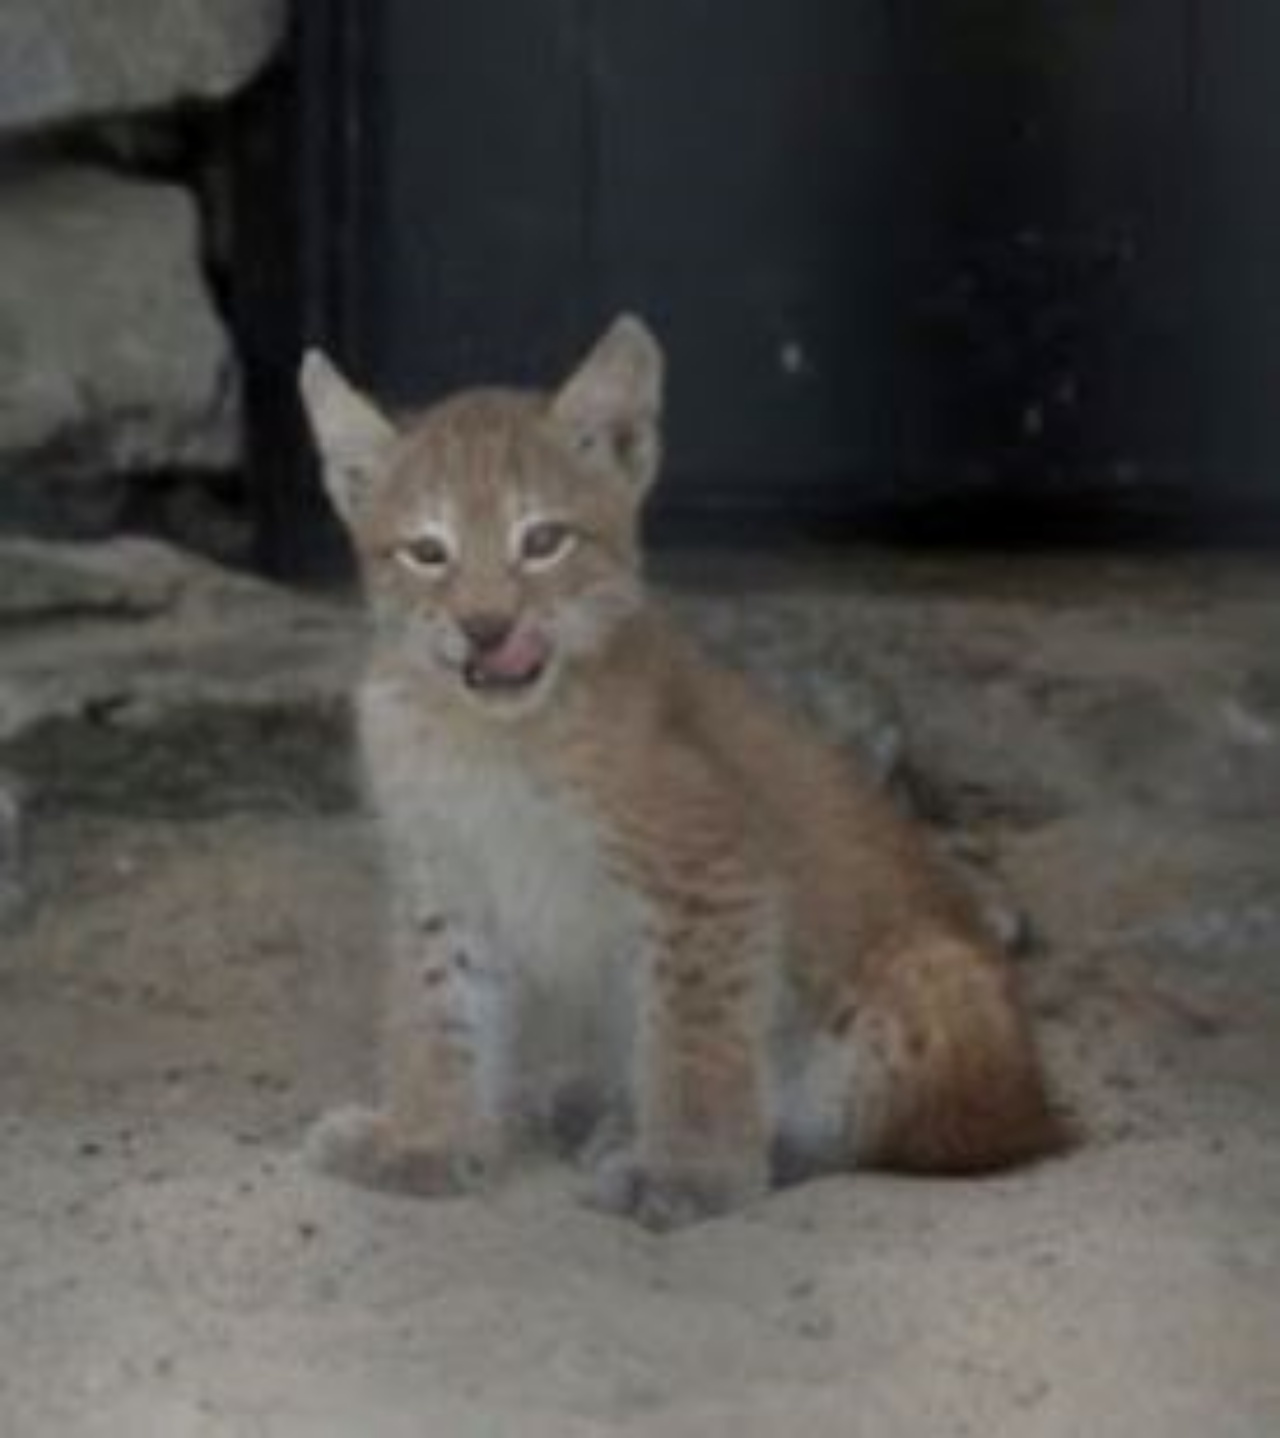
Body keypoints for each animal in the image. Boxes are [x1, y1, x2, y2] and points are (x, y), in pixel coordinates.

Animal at [299, 312, 1058, 1225]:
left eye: (543, 542)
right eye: (426, 552)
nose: (486, 627)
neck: (491, 732)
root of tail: (1046, 1100)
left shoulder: (713, 871)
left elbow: (693, 1035)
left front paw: (689, 1171)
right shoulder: (442, 877)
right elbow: (437, 1013)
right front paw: (427, 1142)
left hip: (937, 989)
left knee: (932, 1138)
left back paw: (698, 1138)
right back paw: (589, 1103)